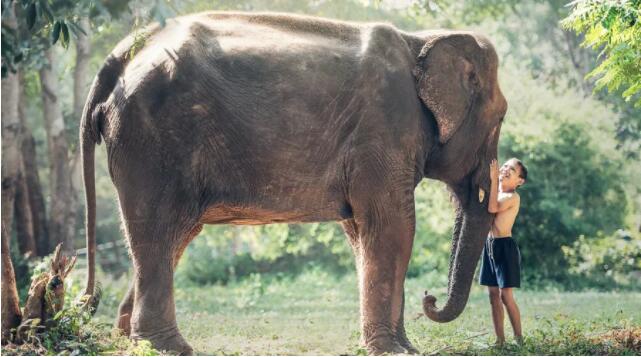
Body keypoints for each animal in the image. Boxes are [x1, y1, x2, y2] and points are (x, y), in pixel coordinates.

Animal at [80, 10, 508, 354]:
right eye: (502, 117)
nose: (430, 298)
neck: (421, 40)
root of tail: (122, 54)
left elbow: (362, 232)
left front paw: (402, 347)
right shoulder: (384, 129)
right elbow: (393, 227)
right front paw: (395, 351)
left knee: (174, 235)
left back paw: (130, 339)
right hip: (152, 140)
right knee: (158, 228)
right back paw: (169, 348)